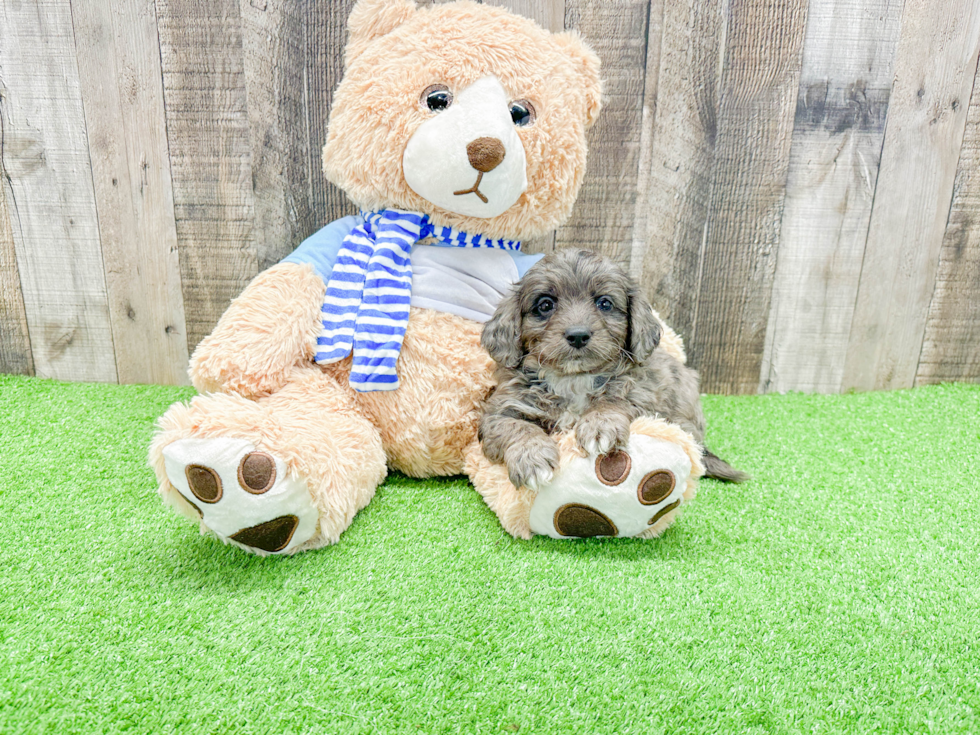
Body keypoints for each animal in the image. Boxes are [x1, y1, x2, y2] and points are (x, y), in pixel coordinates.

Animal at [478, 249, 748, 494]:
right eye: (545, 304)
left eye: (604, 303)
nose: (578, 335)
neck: (574, 380)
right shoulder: (500, 410)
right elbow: (516, 427)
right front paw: (532, 458)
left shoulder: (643, 398)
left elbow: (613, 402)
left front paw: (599, 427)